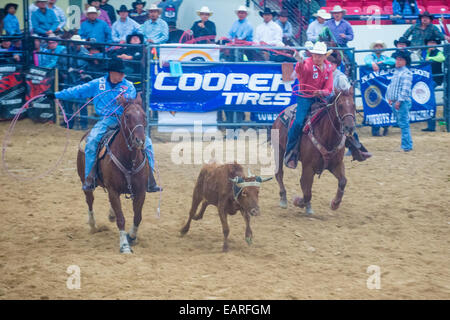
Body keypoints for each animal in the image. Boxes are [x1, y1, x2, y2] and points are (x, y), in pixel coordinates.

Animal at [76, 94, 149, 254]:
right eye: (127, 116)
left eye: (144, 115)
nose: (140, 140)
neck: (129, 160)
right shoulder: (113, 190)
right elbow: (121, 218)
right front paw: (124, 246)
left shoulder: (141, 191)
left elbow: (138, 216)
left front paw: (132, 237)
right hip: (86, 182)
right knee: (89, 200)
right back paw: (93, 225)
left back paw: (111, 214)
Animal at [272, 87, 356, 215]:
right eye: (340, 105)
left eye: (354, 105)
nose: (349, 128)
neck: (327, 137)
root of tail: (279, 116)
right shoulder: (308, 167)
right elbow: (306, 191)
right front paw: (298, 202)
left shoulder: (336, 164)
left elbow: (343, 181)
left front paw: (335, 204)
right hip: (279, 150)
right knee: (279, 173)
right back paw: (283, 199)